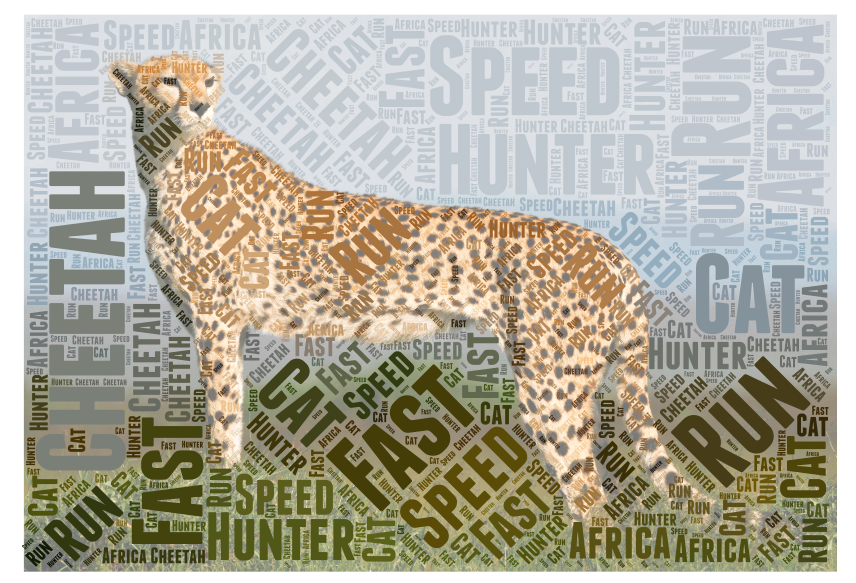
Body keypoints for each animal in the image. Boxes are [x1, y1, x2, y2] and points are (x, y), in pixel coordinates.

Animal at [110, 53, 703, 519]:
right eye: (169, 80)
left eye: (209, 81)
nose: (200, 107)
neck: (163, 158)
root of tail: (610, 247)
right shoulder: (212, 322)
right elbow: (231, 402)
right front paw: (225, 484)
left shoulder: (215, 318)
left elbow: (223, 407)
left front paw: (217, 494)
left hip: (552, 381)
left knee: (587, 490)